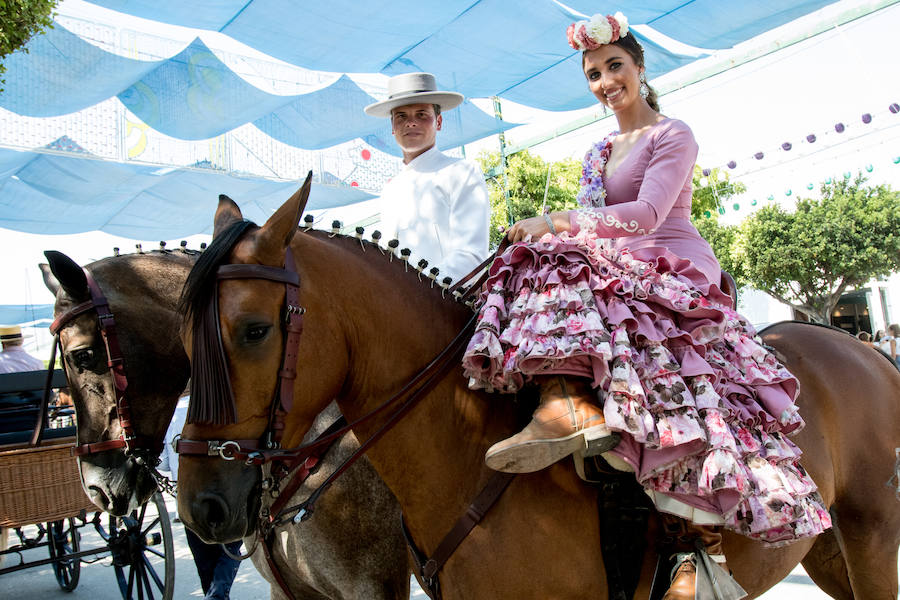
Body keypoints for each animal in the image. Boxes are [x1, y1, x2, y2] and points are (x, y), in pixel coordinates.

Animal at [176, 185, 900, 596]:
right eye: (183, 338)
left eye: (254, 330)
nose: (202, 508)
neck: (467, 455)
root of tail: (865, 348)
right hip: (831, 553)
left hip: (872, 538)